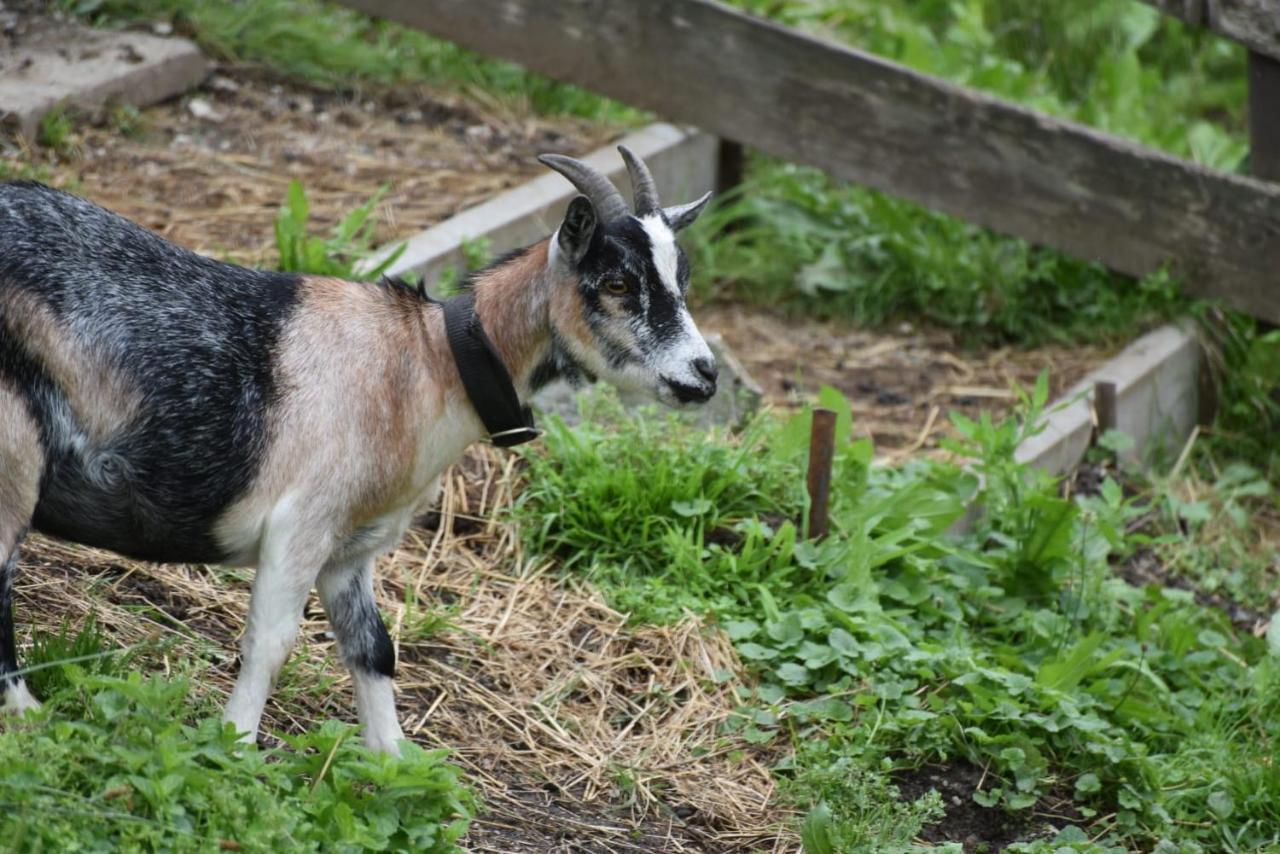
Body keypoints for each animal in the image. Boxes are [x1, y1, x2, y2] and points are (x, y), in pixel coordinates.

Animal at [0, 150, 716, 752]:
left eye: (681, 277)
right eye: (616, 283)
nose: (705, 374)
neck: (423, 364)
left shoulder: (351, 548)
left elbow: (374, 649)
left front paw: (393, 762)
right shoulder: (303, 522)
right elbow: (271, 642)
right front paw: (232, 748)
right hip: (14, 442)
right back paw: (30, 714)